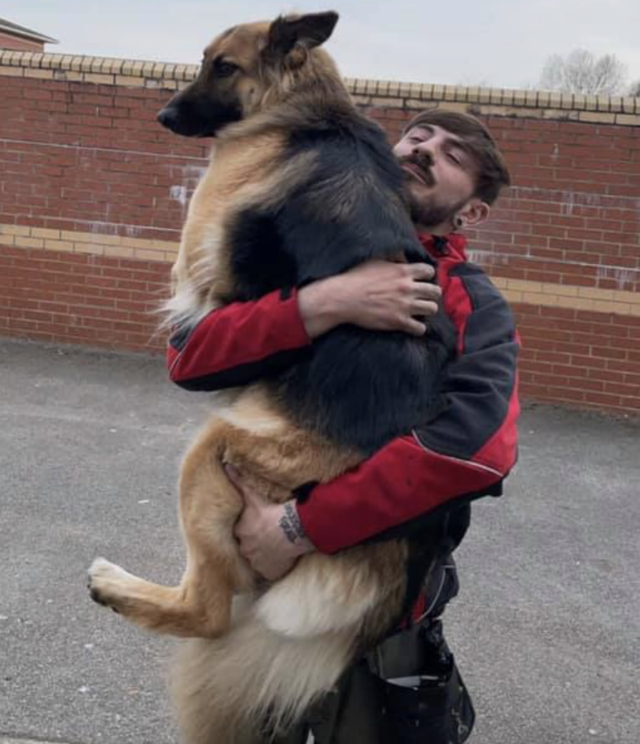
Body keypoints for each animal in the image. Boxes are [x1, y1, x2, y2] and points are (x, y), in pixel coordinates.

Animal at [89, 11, 456, 744]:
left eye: (223, 67)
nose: (164, 116)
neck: (306, 108)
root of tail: (406, 535)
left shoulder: (196, 255)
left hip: (213, 454)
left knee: (207, 612)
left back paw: (117, 585)